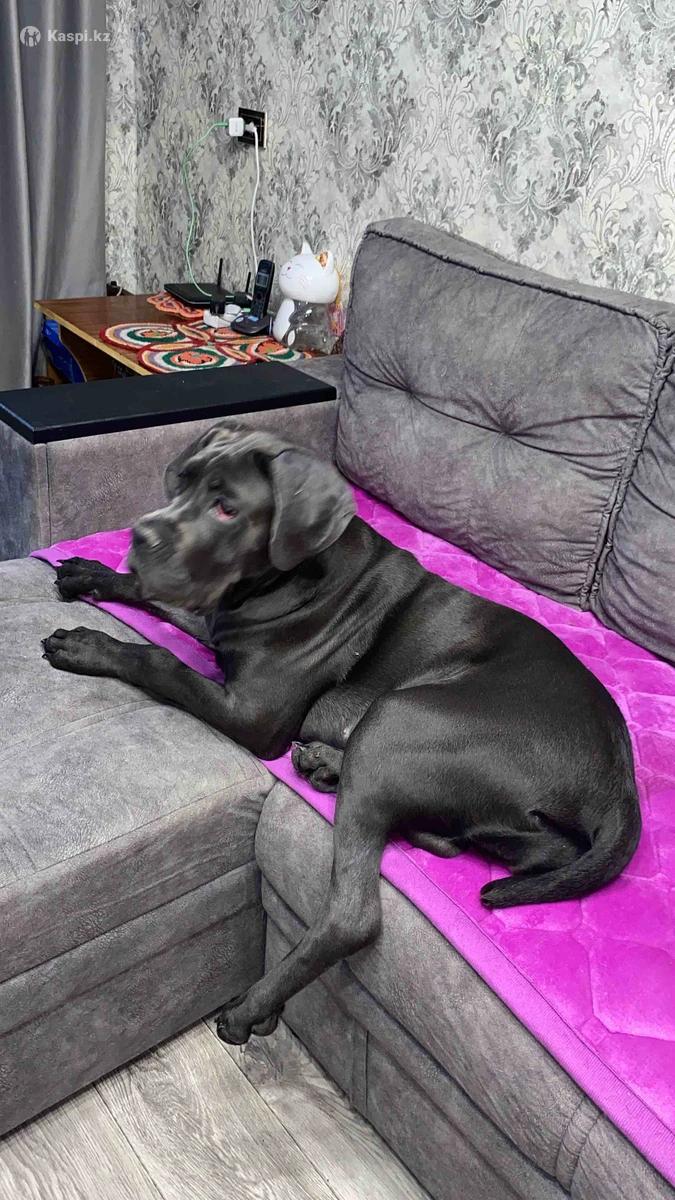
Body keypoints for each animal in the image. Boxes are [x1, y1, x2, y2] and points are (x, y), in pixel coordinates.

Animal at [42, 424, 641, 1044]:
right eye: (181, 480)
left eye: (227, 507)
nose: (141, 534)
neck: (281, 579)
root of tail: (620, 780)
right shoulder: (217, 620)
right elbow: (153, 596)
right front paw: (93, 574)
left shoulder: (252, 712)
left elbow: (159, 660)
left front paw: (89, 646)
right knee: (509, 844)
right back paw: (330, 767)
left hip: (396, 718)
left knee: (354, 917)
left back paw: (252, 1006)